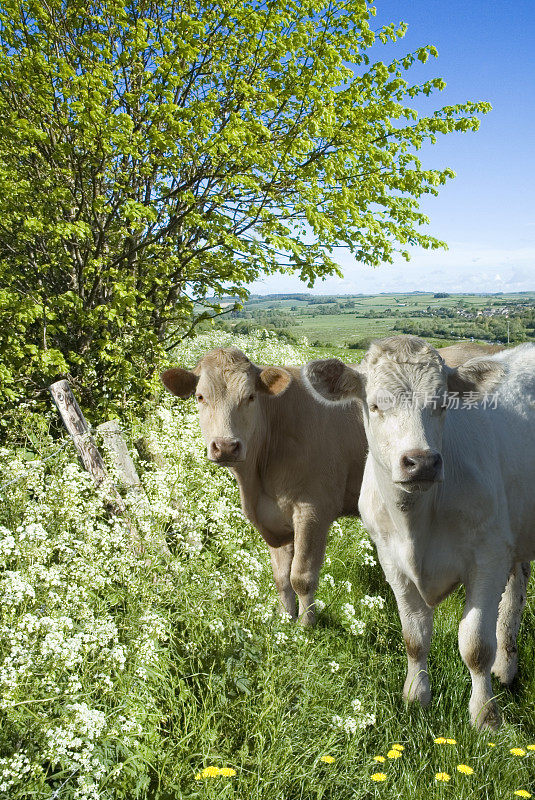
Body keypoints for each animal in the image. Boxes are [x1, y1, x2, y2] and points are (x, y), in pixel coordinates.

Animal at [159, 340, 498, 628]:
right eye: (201, 397)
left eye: (250, 397)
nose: (226, 446)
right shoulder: (273, 519)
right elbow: (281, 576)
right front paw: (285, 619)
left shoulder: (313, 510)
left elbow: (301, 575)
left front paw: (306, 626)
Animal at [302, 334, 535, 728]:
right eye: (375, 405)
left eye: (442, 404)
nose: (422, 462)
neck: (418, 523)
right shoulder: (391, 560)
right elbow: (414, 636)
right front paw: (416, 697)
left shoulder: (488, 556)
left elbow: (476, 645)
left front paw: (485, 716)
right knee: (515, 592)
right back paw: (507, 668)